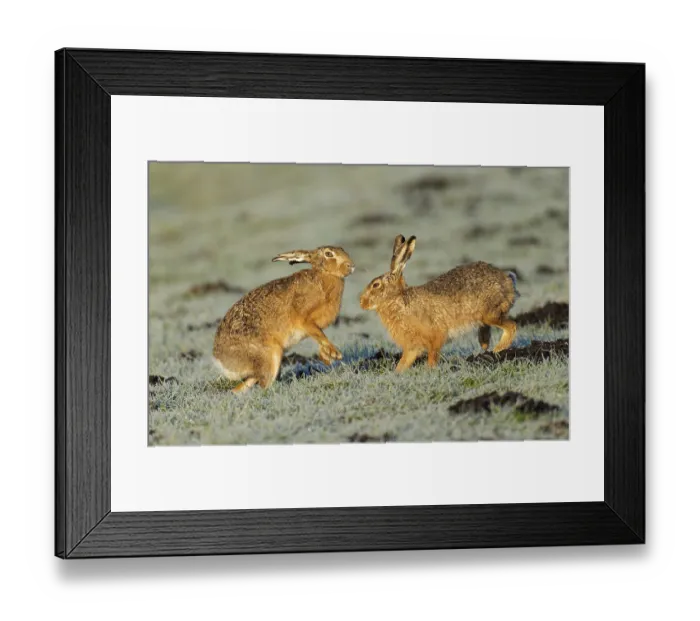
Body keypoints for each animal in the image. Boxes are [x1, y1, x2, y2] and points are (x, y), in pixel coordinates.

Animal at [213, 246, 356, 393]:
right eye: (328, 254)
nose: (351, 266)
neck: (324, 275)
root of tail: (220, 360)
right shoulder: (304, 320)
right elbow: (319, 334)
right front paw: (335, 354)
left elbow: (319, 336)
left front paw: (326, 357)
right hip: (270, 355)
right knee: (264, 382)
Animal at [359, 234, 519, 372]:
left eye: (376, 285)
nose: (362, 302)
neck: (398, 299)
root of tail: (508, 280)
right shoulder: (412, 346)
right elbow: (404, 361)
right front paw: (397, 373)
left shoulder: (436, 334)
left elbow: (433, 354)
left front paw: (428, 370)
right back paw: (486, 347)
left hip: (489, 313)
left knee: (511, 326)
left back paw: (497, 351)